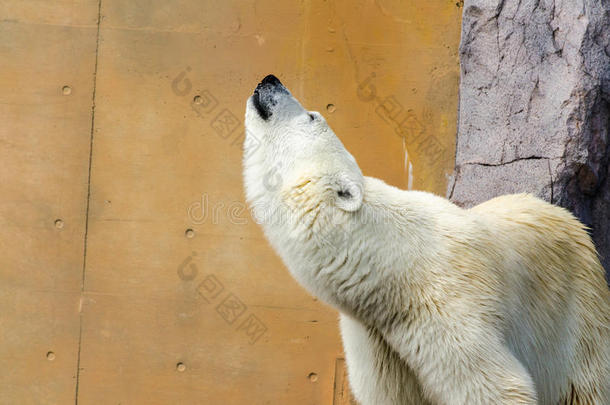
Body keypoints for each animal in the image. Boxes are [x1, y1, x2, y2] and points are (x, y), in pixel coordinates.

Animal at [241, 75, 608, 404]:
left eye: (312, 115)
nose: (270, 80)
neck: (391, 269)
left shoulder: (448, 309)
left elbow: (496, 386)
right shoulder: (378, 341)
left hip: (575, 316)